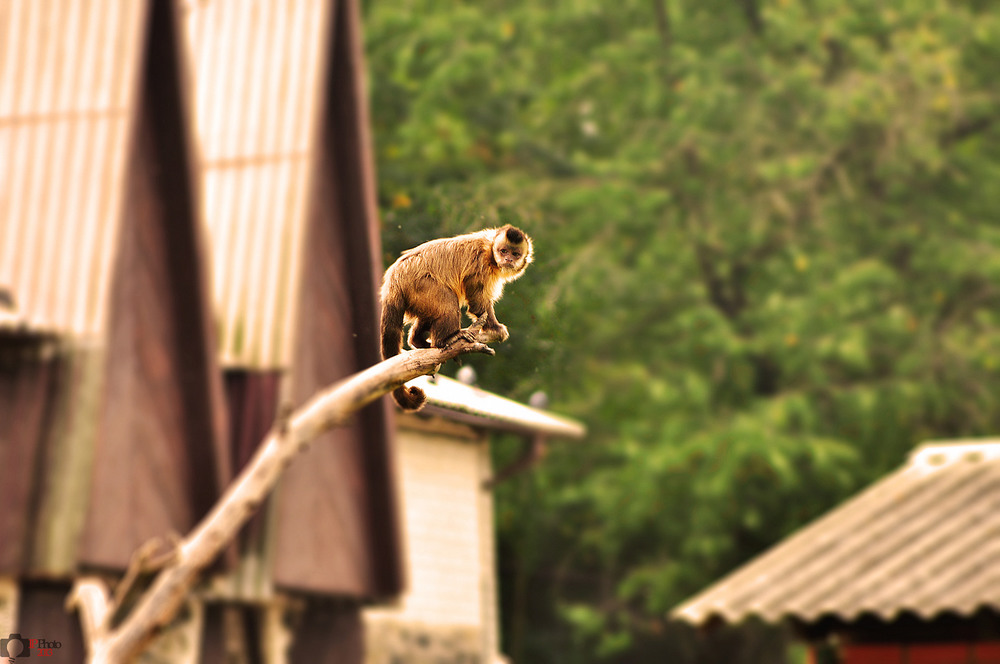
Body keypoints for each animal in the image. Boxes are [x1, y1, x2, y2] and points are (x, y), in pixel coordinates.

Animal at [380, 224, 536, 410]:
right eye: (503, 251)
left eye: (515, 254)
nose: (508, 259)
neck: (491, 252)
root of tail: (394, 277)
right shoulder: (481, 264)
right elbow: (477, 301)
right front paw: (495, 328)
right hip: (418, 283)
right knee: (447, 302)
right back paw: (446, 340)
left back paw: (417, 340)